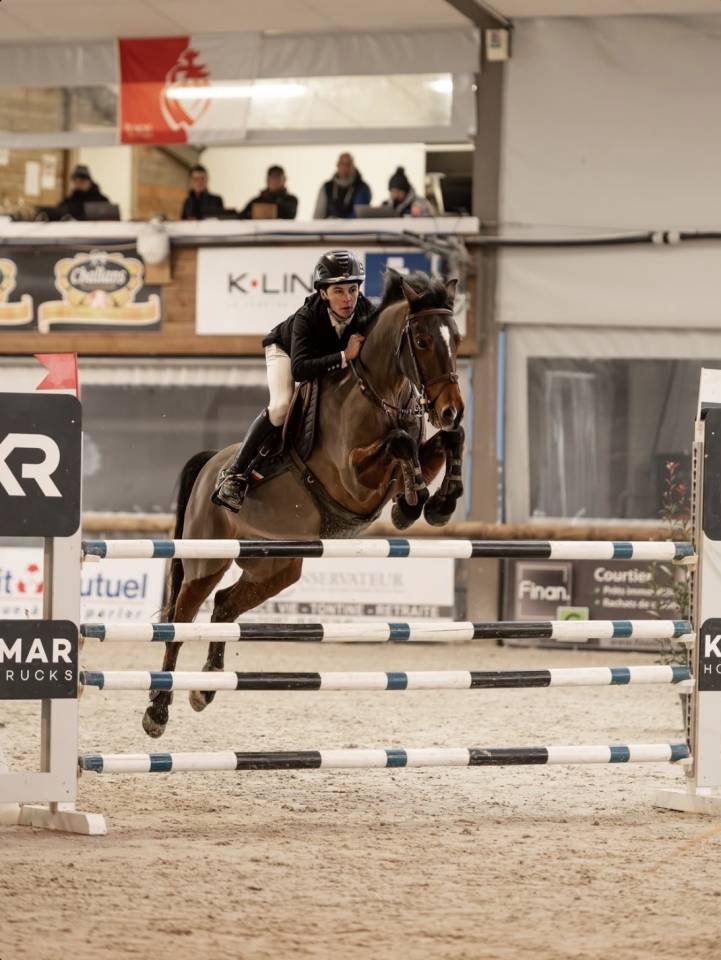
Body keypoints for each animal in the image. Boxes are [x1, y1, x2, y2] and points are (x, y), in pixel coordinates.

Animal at [142, 269, 466, 737]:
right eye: (421, 341)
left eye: (456, 339)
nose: (451, 409)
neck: (377, 393)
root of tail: (210, 465)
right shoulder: (351, 479)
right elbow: (400, 443)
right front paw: (412, 503)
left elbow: (446, 440)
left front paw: (437, 504)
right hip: (207, 558)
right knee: (182, 619)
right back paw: (157, 710)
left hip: (277, 565)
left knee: (224, 604)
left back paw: (205, 688)